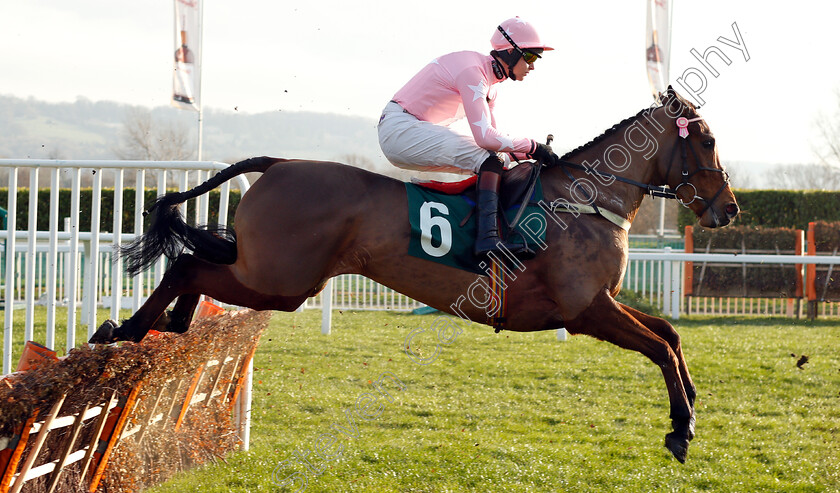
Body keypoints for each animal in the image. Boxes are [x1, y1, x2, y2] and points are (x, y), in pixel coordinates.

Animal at [88, 87, 740, 462]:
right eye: (706, 140)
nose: (729, 208)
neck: (585, 199)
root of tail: (277, 162)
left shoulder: (599, 303)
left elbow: (670, 335)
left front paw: (691, 402)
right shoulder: (585, 310)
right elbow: (660, 346)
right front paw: (681, 428)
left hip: (273, 275)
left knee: (195, 264)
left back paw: (163, 327)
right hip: (280, 279)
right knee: (186, 263)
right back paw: (124, 330)